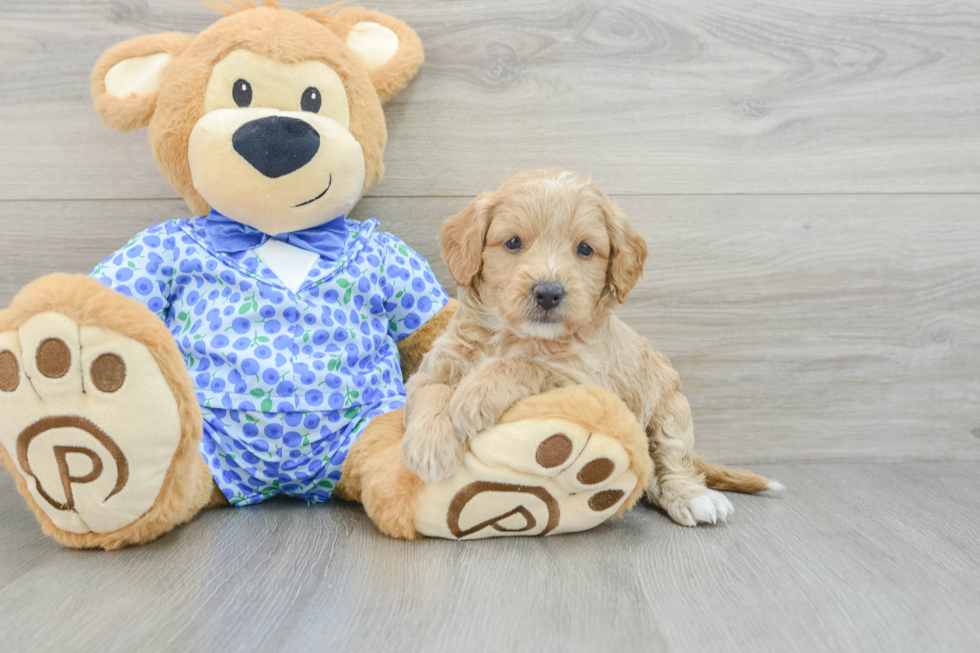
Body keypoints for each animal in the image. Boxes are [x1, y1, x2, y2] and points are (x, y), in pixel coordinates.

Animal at [400, 167, 780, 524]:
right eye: (513, 243)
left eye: (584, 248)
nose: (548, 292)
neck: (513, 335)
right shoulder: (435, 365)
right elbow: (432, 390)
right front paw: (429, 447)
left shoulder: (585, 380)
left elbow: (528, 364)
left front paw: (475, 393)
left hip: (670, 409)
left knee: (671, 462)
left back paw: (693, 497)